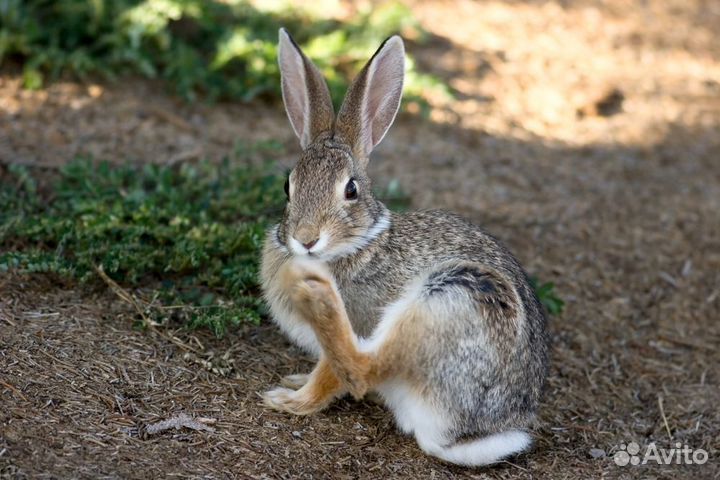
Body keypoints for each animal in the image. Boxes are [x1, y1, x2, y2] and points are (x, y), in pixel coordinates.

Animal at [262, 28, 548, 466]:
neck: (357, 244)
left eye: (351, 190)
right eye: (286, 186)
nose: (306, 239)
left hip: (452, 300)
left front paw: (292, 400)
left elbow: (333, 375)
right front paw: (295, 380)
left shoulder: (362, 321)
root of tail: (451, 435)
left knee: (364, 368)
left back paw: (318, 296)